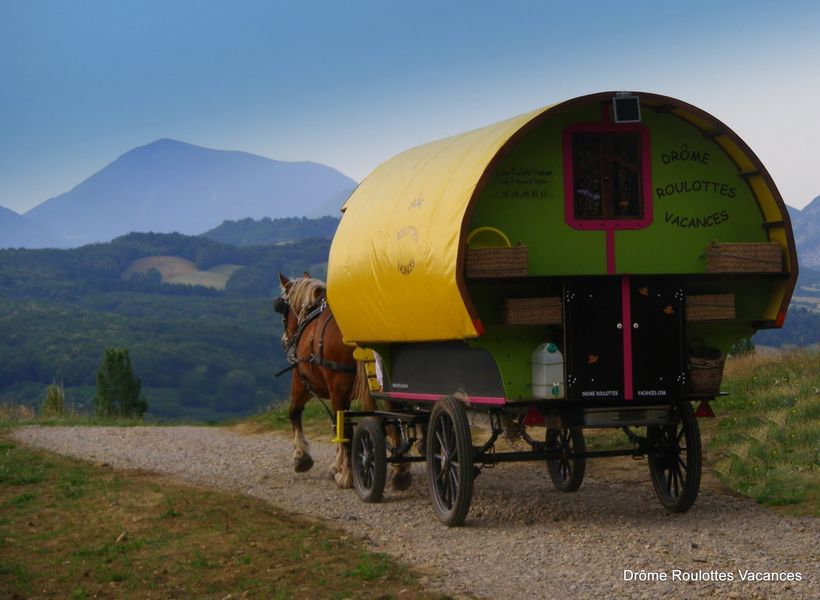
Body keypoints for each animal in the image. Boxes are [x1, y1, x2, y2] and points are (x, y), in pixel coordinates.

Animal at [274, 273, 412, 491]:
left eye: (283, 307)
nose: (285, 340)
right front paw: (336, 465)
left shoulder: (302, 382)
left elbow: (295, 413)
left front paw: (302, 458)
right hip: (384, 383)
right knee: (393, 419)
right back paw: (401, 471)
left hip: (337, 387)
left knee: (346, 426)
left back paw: (347, 477)